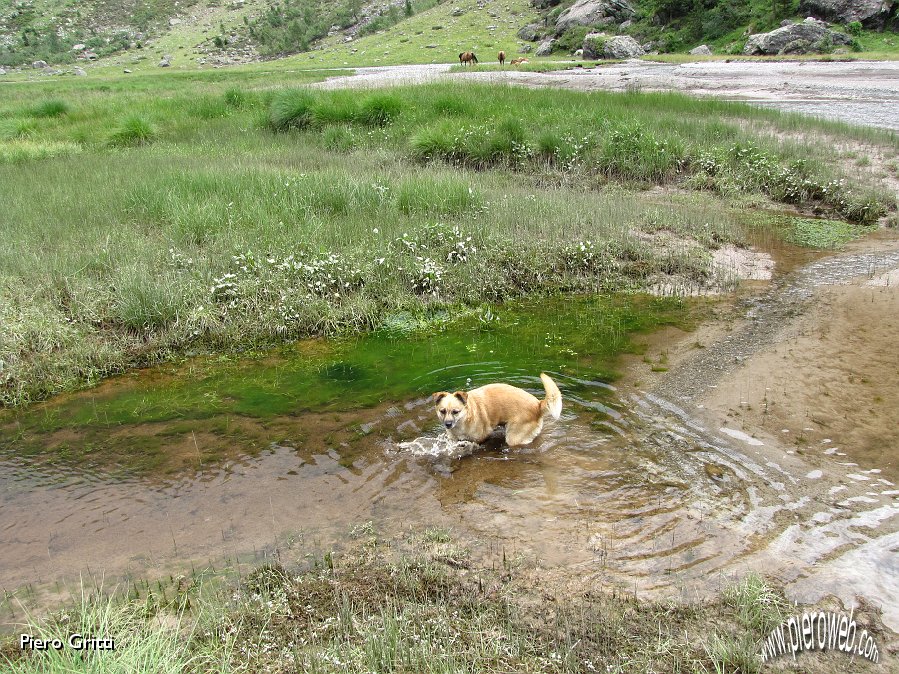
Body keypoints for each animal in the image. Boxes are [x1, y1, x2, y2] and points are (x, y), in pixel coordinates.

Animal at [430, 372, 564, 446]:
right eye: (442, 411)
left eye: (455, 412)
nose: (447, 424)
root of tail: (537, 404)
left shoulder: (480, 438)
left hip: (514, 437)